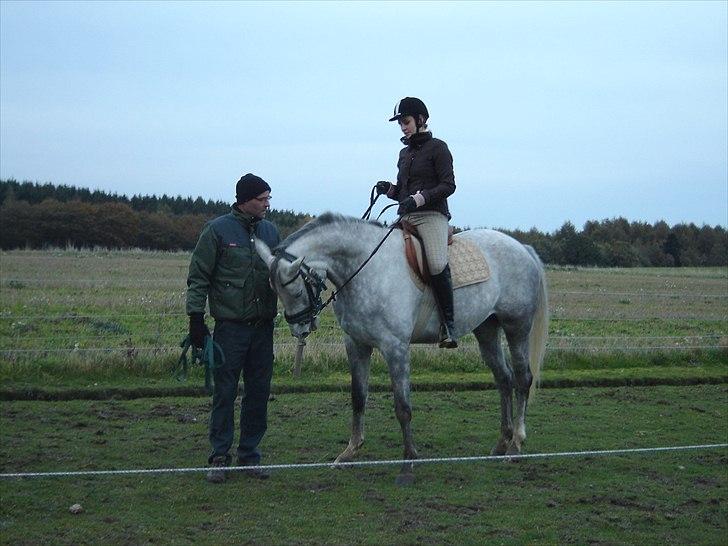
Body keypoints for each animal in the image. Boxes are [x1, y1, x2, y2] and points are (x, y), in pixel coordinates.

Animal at [255, 210, 544, 482]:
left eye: (294, 291)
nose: (299, 329)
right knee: (504, 379)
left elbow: (403, 407)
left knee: (522, 379)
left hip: (517, 327)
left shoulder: (395, 347)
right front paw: (349, 453)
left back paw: (516, 445)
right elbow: (358, 398)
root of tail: (522, 247)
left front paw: (408, 463)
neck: (366, 267)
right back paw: (501, 444)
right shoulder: (357, 344)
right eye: (275, 291)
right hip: (486, 330)